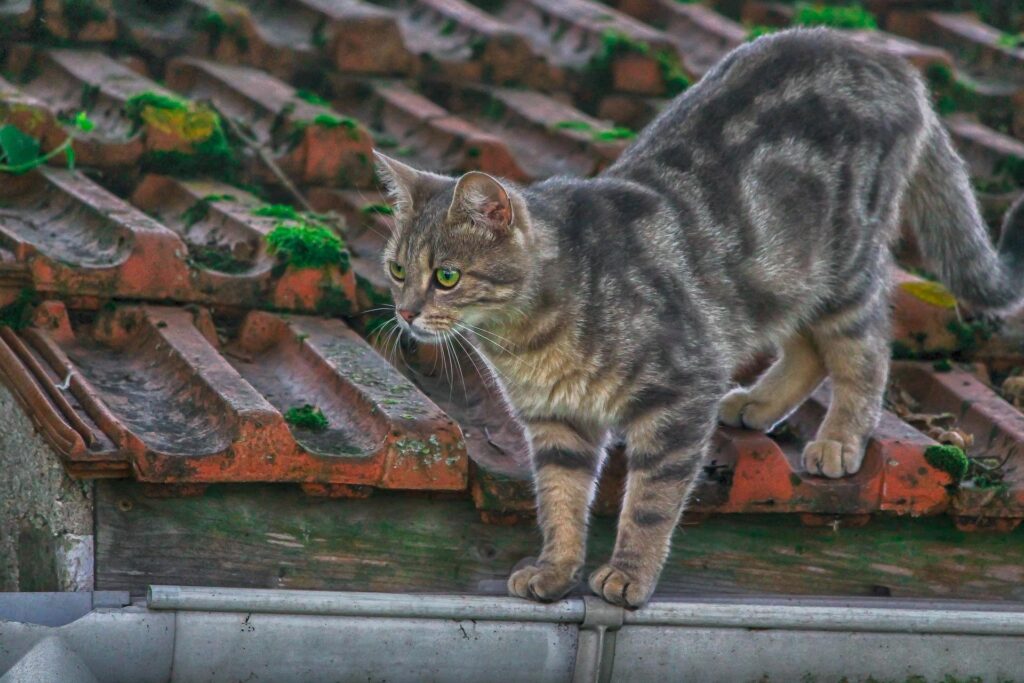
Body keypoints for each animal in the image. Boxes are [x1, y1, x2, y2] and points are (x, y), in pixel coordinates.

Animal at [376, 28, 1024, 610]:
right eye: (397, 269)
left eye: (447, 276)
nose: (405, 312)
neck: (529, 338)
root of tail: (888, 60)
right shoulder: (558, 426)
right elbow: (559, 502)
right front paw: (555, 569)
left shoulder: (680, 394)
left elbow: (651, 503)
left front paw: (628, 574)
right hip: (780, 279)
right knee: (806, 347)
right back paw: (756, 404)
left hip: (843, 271)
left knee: (865, 352)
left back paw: (840, 438)